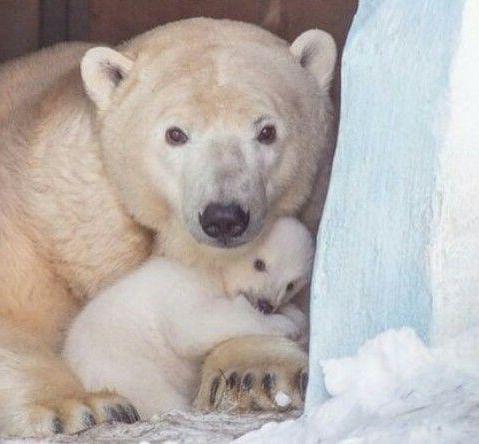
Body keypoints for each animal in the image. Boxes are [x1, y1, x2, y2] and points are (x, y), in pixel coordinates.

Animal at [63, 217, 314, 418]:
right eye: (259, 264)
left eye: (291, 284)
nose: (266, 304)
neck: (210, 267)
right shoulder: (184, 285)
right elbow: (193, 326)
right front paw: (287, 324)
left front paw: (294, 315)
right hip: (123, 365)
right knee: (156, 394)